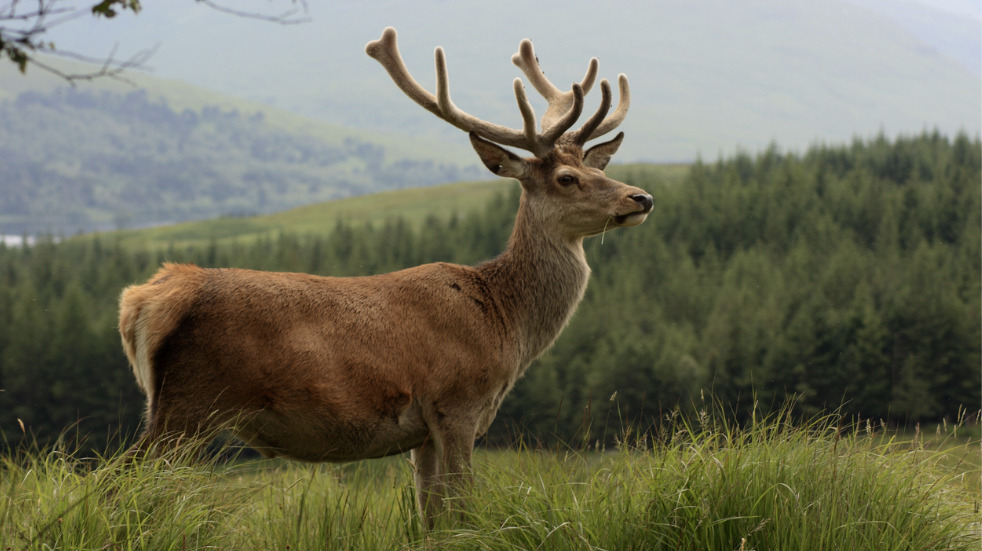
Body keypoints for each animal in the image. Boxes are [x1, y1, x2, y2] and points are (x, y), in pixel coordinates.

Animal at [121, 27, 652, 528]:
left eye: (598, 167)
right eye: (567, 178)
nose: (641, 198)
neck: (505, 322)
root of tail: (142, 300)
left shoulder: (423, 431)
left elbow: (432, 517)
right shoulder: (457, 401)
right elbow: (463, 507)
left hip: (169, 405)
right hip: (190, 401)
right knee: (126, 483)